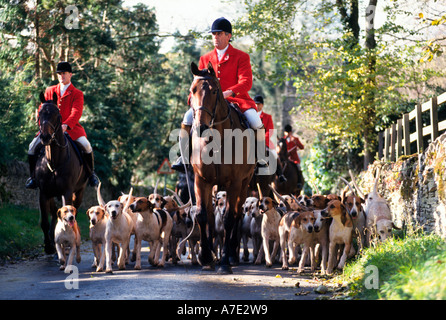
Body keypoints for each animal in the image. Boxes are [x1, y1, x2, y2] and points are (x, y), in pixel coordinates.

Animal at [34, 91, 88, 254]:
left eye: (57, 115)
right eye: (40, 114)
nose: (45, 137)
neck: (54, 161)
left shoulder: (67, 192)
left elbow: (68, 213)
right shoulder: (44, 193)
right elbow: (45, 221)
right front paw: (48, 247)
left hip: (79, 192)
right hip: (51, 195)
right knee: (53, 213)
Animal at [188, 62, 256, 272]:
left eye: (214, 91)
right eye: (192, 90)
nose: (200, 127)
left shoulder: (235, 182)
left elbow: (228, 218)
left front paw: (225, 261)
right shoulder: (201, 180)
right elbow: (202, 215)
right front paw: (205, 257)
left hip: (244, 184)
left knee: (237, 214)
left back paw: (232, 255)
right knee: (211, 215)